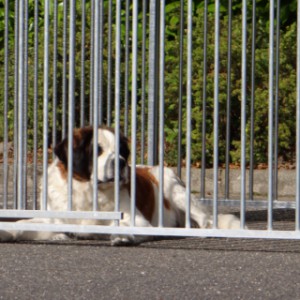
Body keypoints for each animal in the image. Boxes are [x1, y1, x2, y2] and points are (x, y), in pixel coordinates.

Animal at [0, 125, 243, 245]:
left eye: (122, 151)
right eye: (97, 150)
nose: (121, 162)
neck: (88, 192)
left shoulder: (139, 221)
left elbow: (117, 226)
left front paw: (120, 235)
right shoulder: (53, 218)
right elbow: (23, 223)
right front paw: (8, 231)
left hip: (173, 186)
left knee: (205, 219)